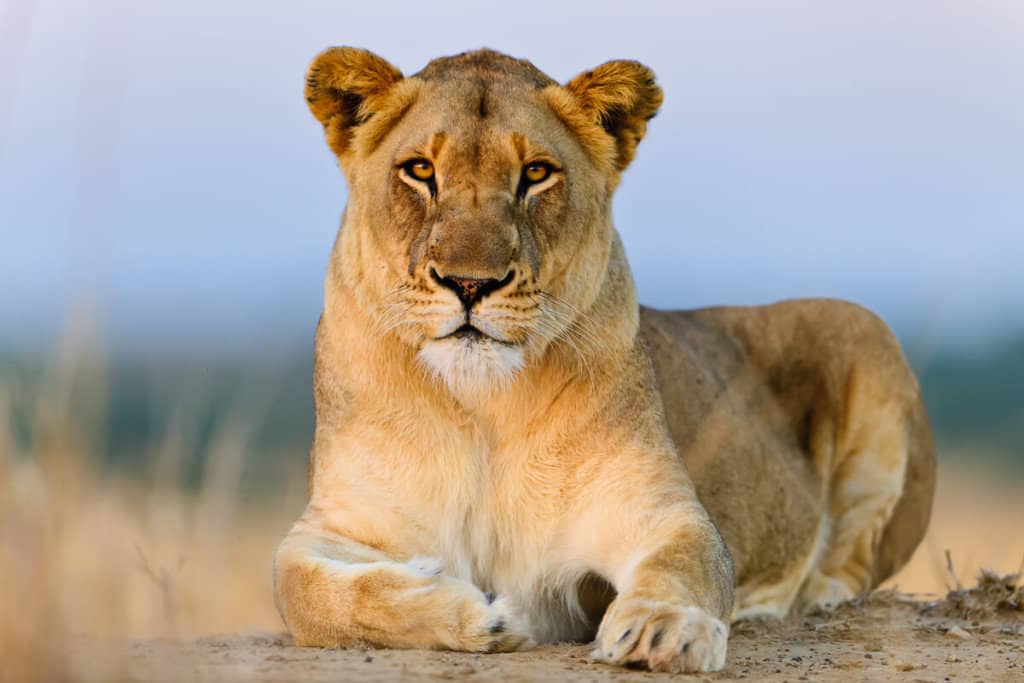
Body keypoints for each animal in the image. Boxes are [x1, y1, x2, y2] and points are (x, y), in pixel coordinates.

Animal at [273, 47, 936, 673]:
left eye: (536, 173)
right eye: (419, 170)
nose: (470, 283)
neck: (484, 405)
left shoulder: (660, 512)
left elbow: (688, 562)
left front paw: (667, 628)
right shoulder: (336, 525)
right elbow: (303, 589)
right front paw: (476, 615)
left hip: (865, 331)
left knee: (852, 566)